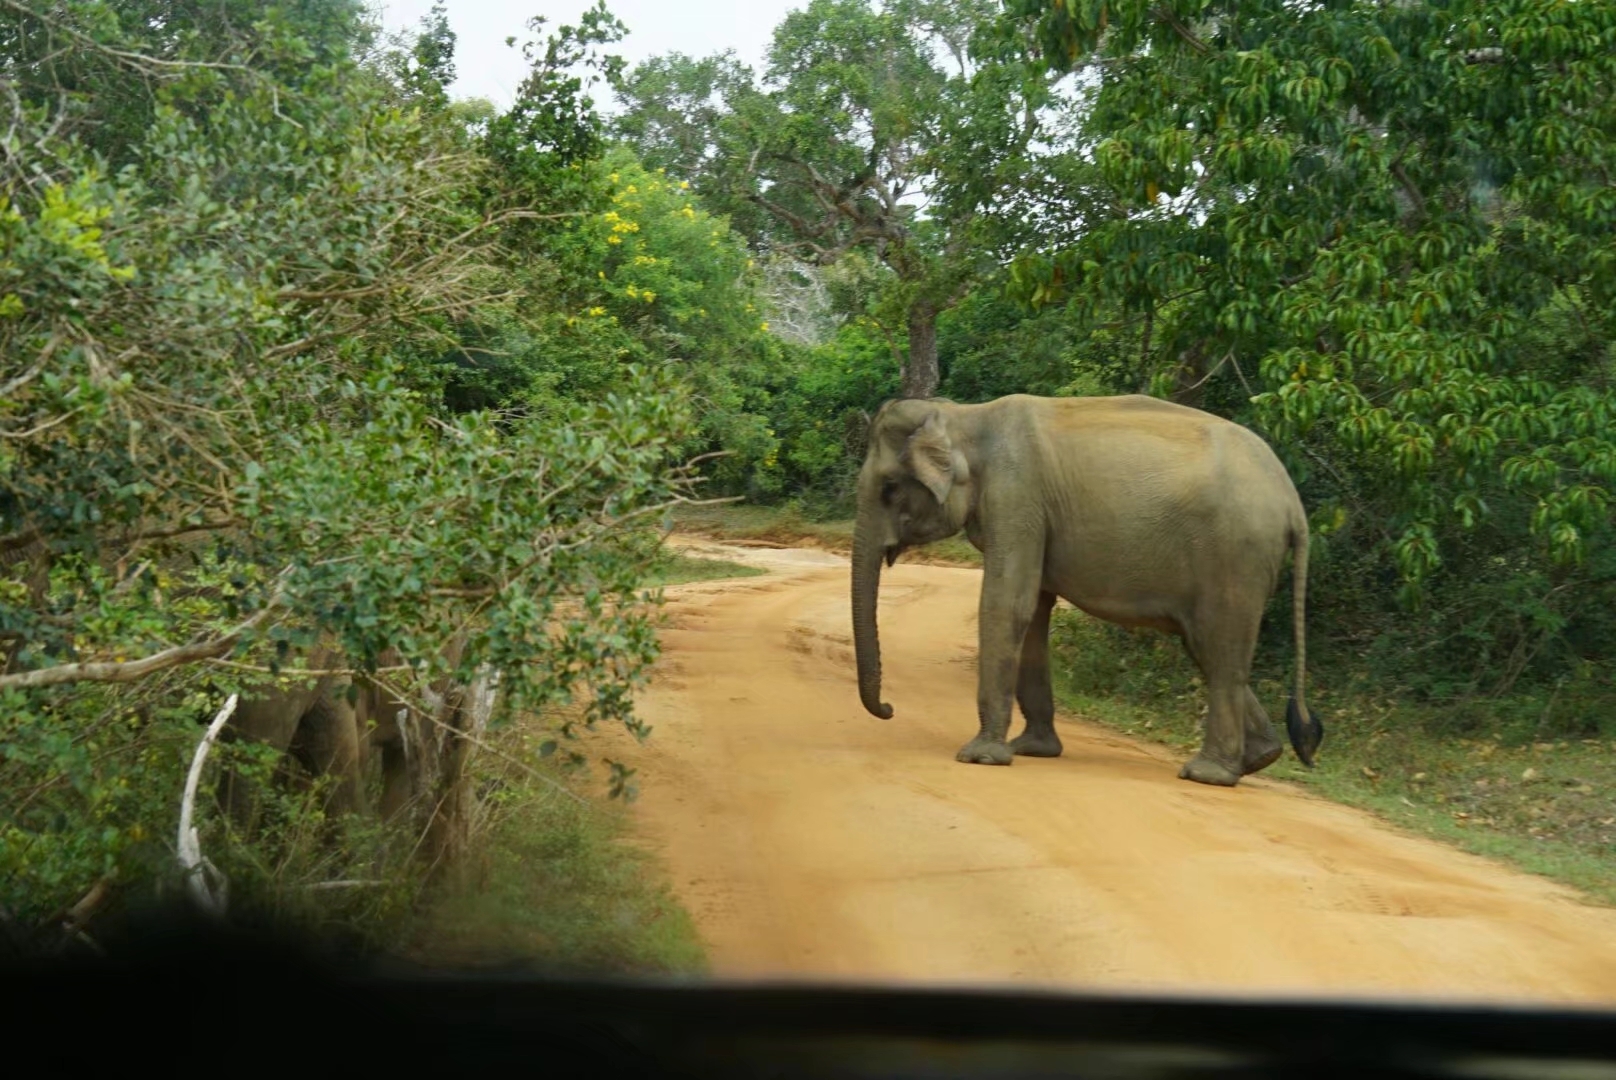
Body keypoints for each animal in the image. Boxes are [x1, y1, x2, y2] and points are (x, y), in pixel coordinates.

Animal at [846, 392, 1325, 788]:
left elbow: (1007, 605)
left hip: (1235, 554)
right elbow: (1034, 613)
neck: (963, 415)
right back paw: (1260, 758)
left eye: (889, 488)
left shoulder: (1017, 497)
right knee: (1208, 647)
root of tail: (1293, 503)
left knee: (1220, 647)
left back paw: (1208, 775)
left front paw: (981, 757)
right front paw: (1033, 751)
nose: (888, 709)